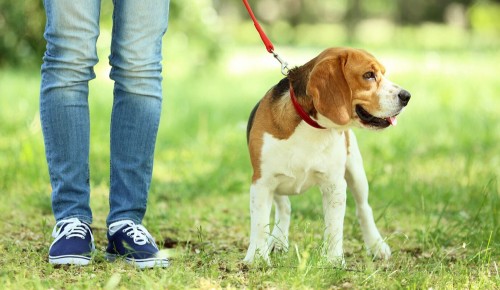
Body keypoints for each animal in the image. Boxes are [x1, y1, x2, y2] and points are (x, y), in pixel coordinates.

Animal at [242, 47, 410, 266]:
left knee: (364, 209)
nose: (407, 96)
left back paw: (377, 246)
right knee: (284, 207)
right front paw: (256, 259)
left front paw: (334, 261)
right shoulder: (262, 183)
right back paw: (278, 241)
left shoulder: (334, 185)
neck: (311, 126)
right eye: (368, 75)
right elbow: (259, 224)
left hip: (356, 172)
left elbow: (334, 228)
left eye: (383, 72)